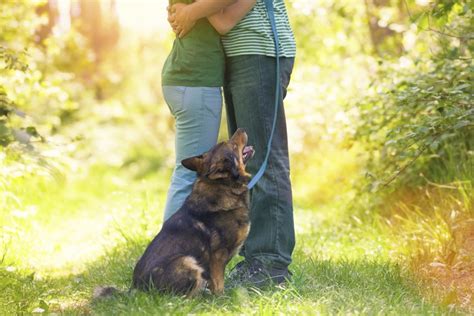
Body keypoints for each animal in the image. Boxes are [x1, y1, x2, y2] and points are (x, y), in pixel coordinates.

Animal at [130, 128, 254, 296]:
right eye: (233, 145)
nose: (241, 129)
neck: (224, 186)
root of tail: (138, 289)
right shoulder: (217, 256)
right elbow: (218, 283)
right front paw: (222, 298)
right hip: (188, 261)